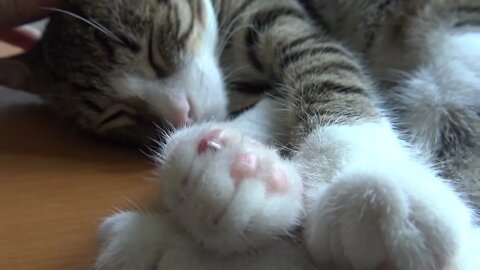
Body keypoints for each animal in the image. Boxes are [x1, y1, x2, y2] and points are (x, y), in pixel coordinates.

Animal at [0, 0, 480, 268]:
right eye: (121, 114)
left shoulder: (286, 17)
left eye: (154, 48)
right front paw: (230, 166)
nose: (180, 112)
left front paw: (361, 174)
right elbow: (268, 102)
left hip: (455, 51)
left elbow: (326, 67)